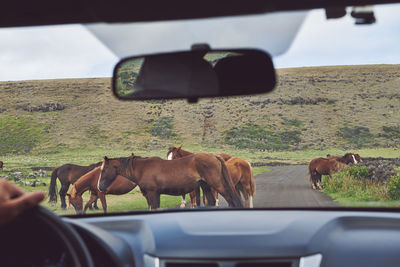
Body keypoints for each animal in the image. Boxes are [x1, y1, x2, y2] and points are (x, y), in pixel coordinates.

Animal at [97, 154, 241, 210]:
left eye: (103, 169)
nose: (99, 187)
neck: (142, 169)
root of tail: (214, 156)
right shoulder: (154, 195)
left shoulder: (152, 194)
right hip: (205, 186)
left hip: (217, 185)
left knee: (230, 199)